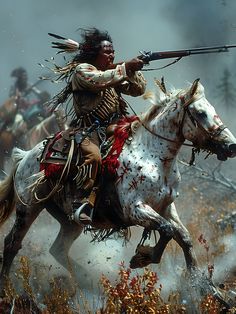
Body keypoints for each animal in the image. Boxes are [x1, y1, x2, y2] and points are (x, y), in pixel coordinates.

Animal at [0, 78, 236, 306]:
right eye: (200, 113)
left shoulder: (166, 207)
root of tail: (25, 156)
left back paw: (90, 281)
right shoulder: (136, 210)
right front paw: (143, 257)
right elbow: (168, 230)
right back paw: (7, 291)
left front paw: (210, 291)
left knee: (58, 249)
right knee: (12, 243)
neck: (152, 157)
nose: (231, 146)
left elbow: (184, 237)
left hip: (70, 221)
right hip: (29, 208)